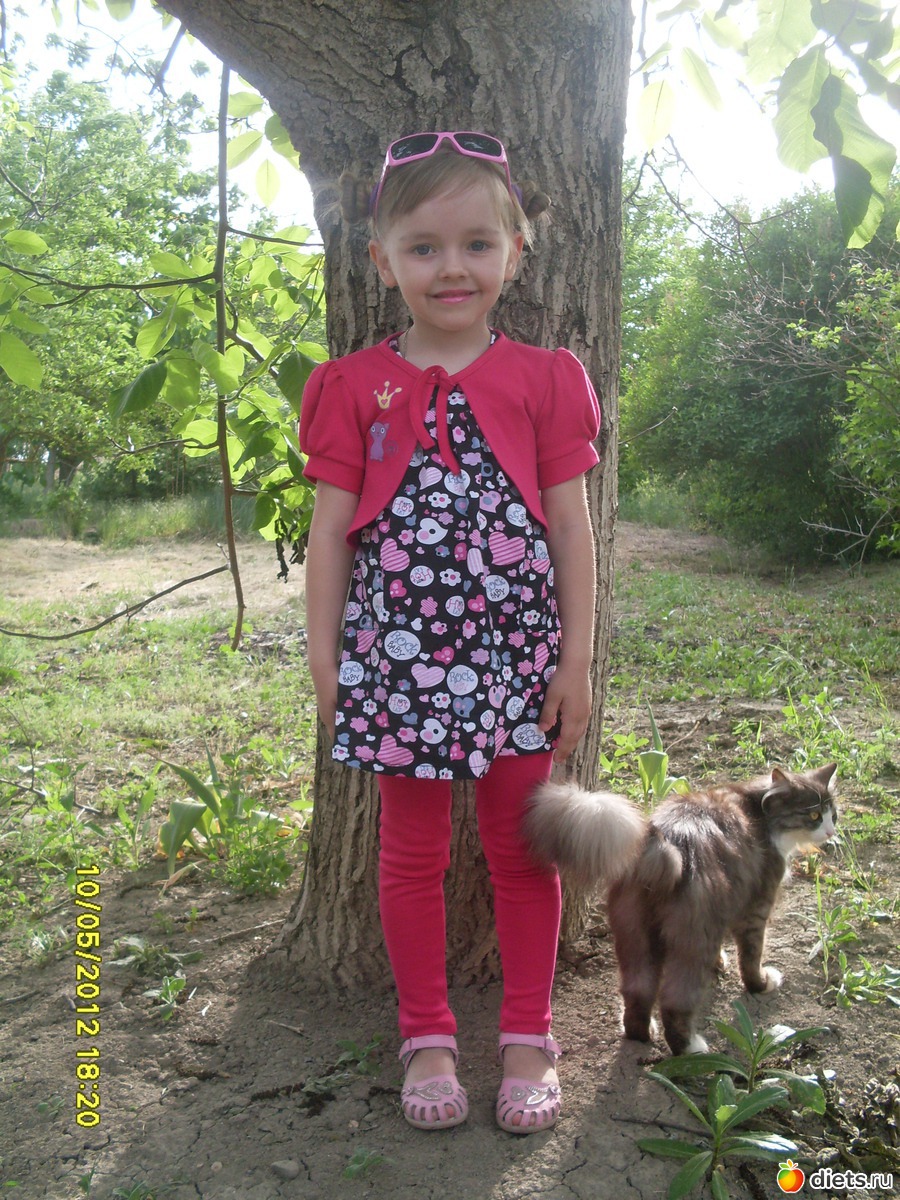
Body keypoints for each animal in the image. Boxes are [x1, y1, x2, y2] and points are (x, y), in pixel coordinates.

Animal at [525, 763, 838, 1055]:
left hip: (635, 936)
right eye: (814, 816)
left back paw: (642, 1033)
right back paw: (690, 1048)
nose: (831, 831)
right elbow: (751, 957)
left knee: (637, 993)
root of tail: (669, 842)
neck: (758, 809)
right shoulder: (755, 909)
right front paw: (760, 984)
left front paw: (720, 962)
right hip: (693, 941)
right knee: (675, 1002)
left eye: (833, 813)